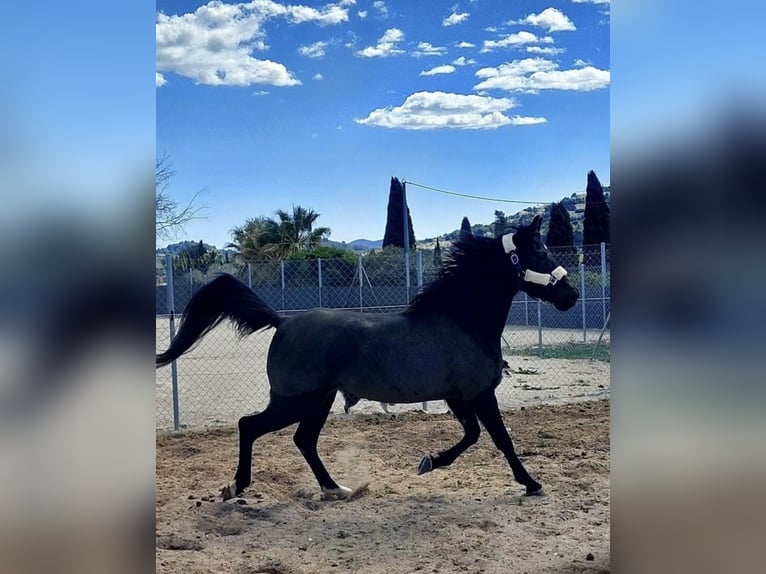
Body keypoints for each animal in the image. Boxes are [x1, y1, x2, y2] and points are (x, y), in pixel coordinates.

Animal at [156, 215, 579, 500]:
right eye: (540, 253)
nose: (571, 296)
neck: (463, 320)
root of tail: (282, 322)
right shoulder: (478, 394)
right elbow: (501, 439)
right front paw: (532, 483)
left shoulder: (458, 397)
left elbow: (472, 436)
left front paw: (429, 462)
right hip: (297, 400)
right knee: (250, 426)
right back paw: (236, 486)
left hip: (319, 401)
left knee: (303, 440)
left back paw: (336, 489)